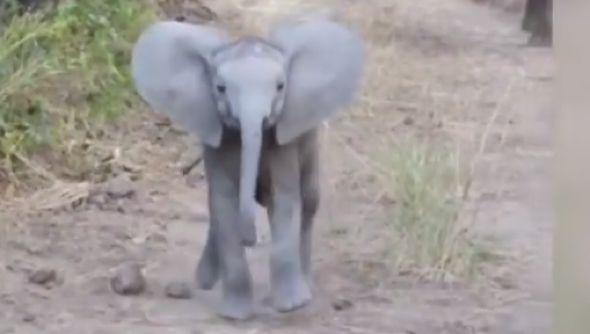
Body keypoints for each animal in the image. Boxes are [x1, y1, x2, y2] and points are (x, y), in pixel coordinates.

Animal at [131, 14, 366, 320]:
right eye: (220, 89)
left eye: (280, 87)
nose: (251, 239)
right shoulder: (218, 139)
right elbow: (224, 204)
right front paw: (235, 315)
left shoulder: (283, 143)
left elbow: (285, 201)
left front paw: (292, 306)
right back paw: (204, 282)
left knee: (310, 200)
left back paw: (305, 285)